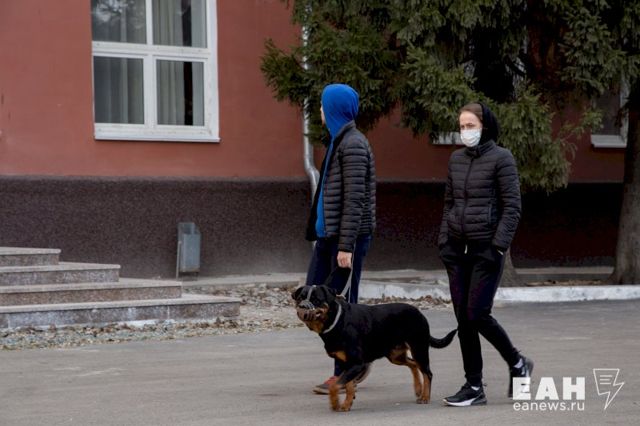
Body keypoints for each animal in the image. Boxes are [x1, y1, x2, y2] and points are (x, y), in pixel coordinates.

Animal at [292, 284, 457, 412]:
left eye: (316, 300)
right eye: (300, 298)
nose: (303, 306)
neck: (336, 321)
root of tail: (419, 312)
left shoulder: (357, 363)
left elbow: (335, 385)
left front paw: (335, 403)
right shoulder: (348, 364)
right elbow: (348, 385)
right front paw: (347, 404)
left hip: (418, 347)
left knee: (427, 372)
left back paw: (425, 396)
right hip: (395, 355)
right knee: (413, 364)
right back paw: (418, 389)